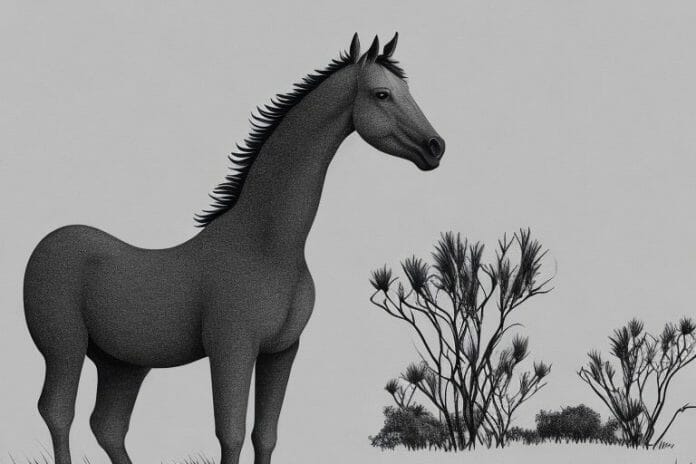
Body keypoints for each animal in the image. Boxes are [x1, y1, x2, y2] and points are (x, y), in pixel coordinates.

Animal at [23, 32, 445, 464]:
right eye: (382, 94)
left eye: (407, 90)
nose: (435, 147)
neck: (267, 248)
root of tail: (46, 244)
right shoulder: (233, 350)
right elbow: (232, 434)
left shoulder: (282, 351)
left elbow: (265, 435)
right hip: (65, 350)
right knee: (58, 412)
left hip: (123, 365)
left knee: (107, 425)